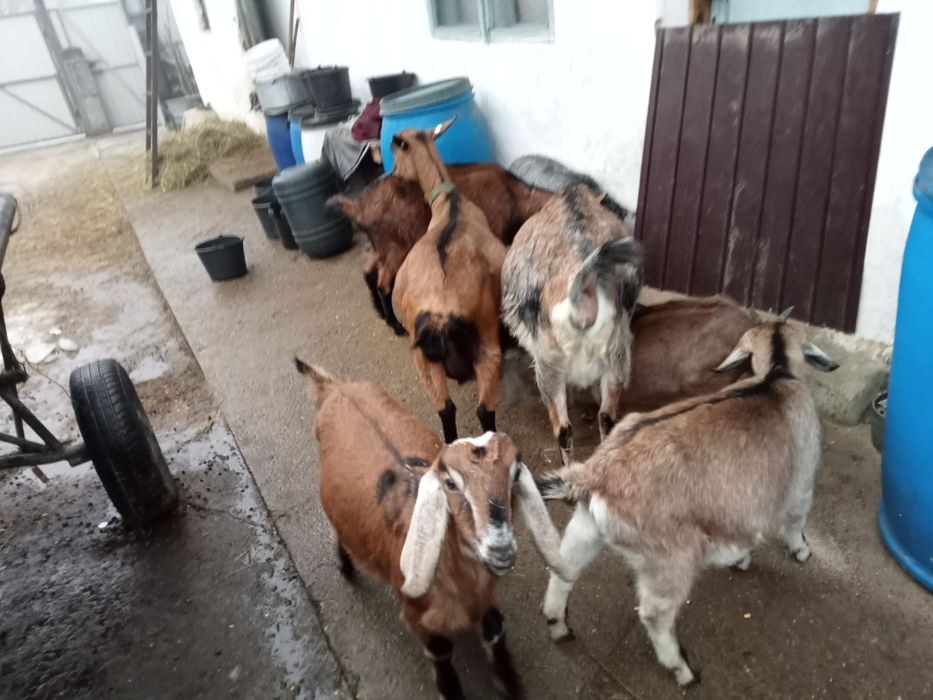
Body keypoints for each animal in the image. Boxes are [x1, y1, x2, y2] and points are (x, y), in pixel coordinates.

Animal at [294, 359, 567, 700]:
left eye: (515, 473)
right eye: (450, 482)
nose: (500, 548)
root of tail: (335, 389)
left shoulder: (486, 598)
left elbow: (494, 631)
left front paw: (510, 684)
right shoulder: (417, 616)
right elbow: (441, 657)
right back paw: (345, 566)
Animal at [329, 166, 554, 336]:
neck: (513, 193)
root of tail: (360, 206)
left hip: (382, 245)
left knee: (369, 269)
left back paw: (382, 314)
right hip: (397, 247)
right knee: (383, 283)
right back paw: (395, 325)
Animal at [389, 119, 509, 443]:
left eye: (397, 154)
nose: (392, 174)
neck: (450, 204)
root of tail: (441, 316)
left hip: (427, 359)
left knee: (447, 409)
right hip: (487, 347)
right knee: (482, 411)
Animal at [535, 310, 839, 686]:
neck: (776, 376)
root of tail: (595, 473)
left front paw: (741, 558)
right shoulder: (800, 485)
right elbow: (795, 522)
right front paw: (801, 552)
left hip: (587, 527)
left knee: (564, 569)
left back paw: (559, 625)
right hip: (670, 558)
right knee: (654, 612)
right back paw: (681, 667)